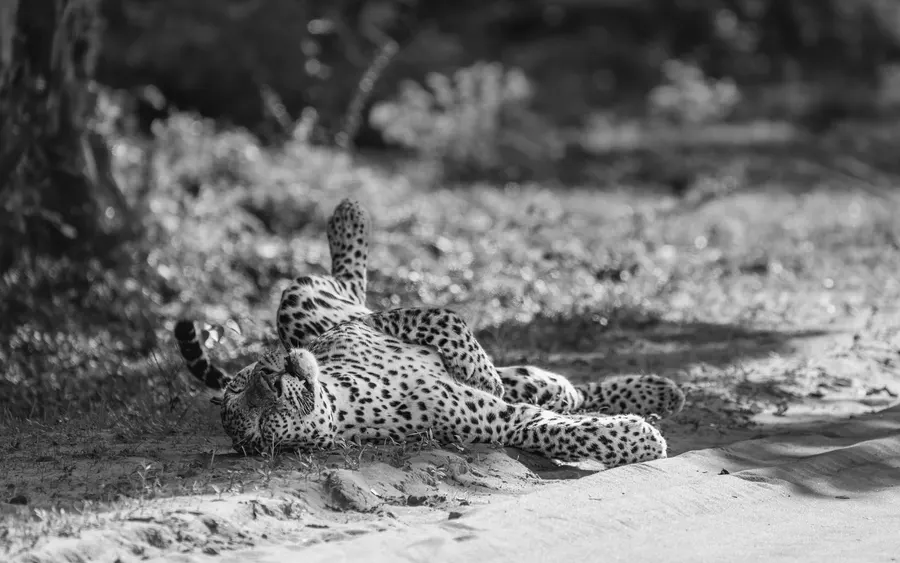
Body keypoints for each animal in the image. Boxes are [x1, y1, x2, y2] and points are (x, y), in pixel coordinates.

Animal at [175, 199, 684, 468]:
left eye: (245, 385)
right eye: (261, 424)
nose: (272, 374)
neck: (341, 393)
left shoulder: (367, 325)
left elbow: (442, 318)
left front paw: (477, 369)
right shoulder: (495, 423)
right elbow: (555, 428)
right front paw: (639, 438)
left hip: (302, 307)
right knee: (562, 397)